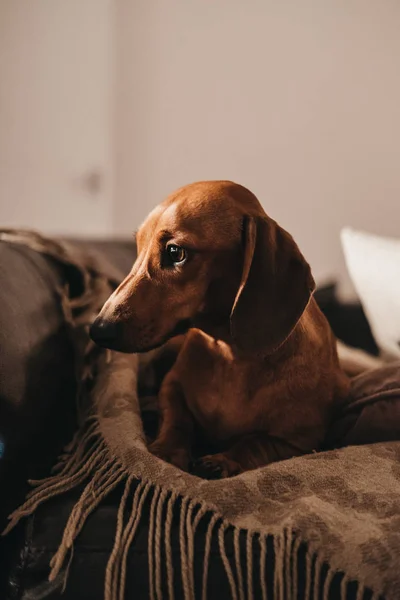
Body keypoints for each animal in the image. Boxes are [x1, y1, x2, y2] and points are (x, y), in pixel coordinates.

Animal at [89, 182, 348, 478]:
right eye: (138, 246)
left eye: (175, 252)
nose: (98, 329)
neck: (230, 357)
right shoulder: (171, 386)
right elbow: (177, 419)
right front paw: (167, 450)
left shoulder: (300, 441)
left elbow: (255, 441)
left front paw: (222, 461)